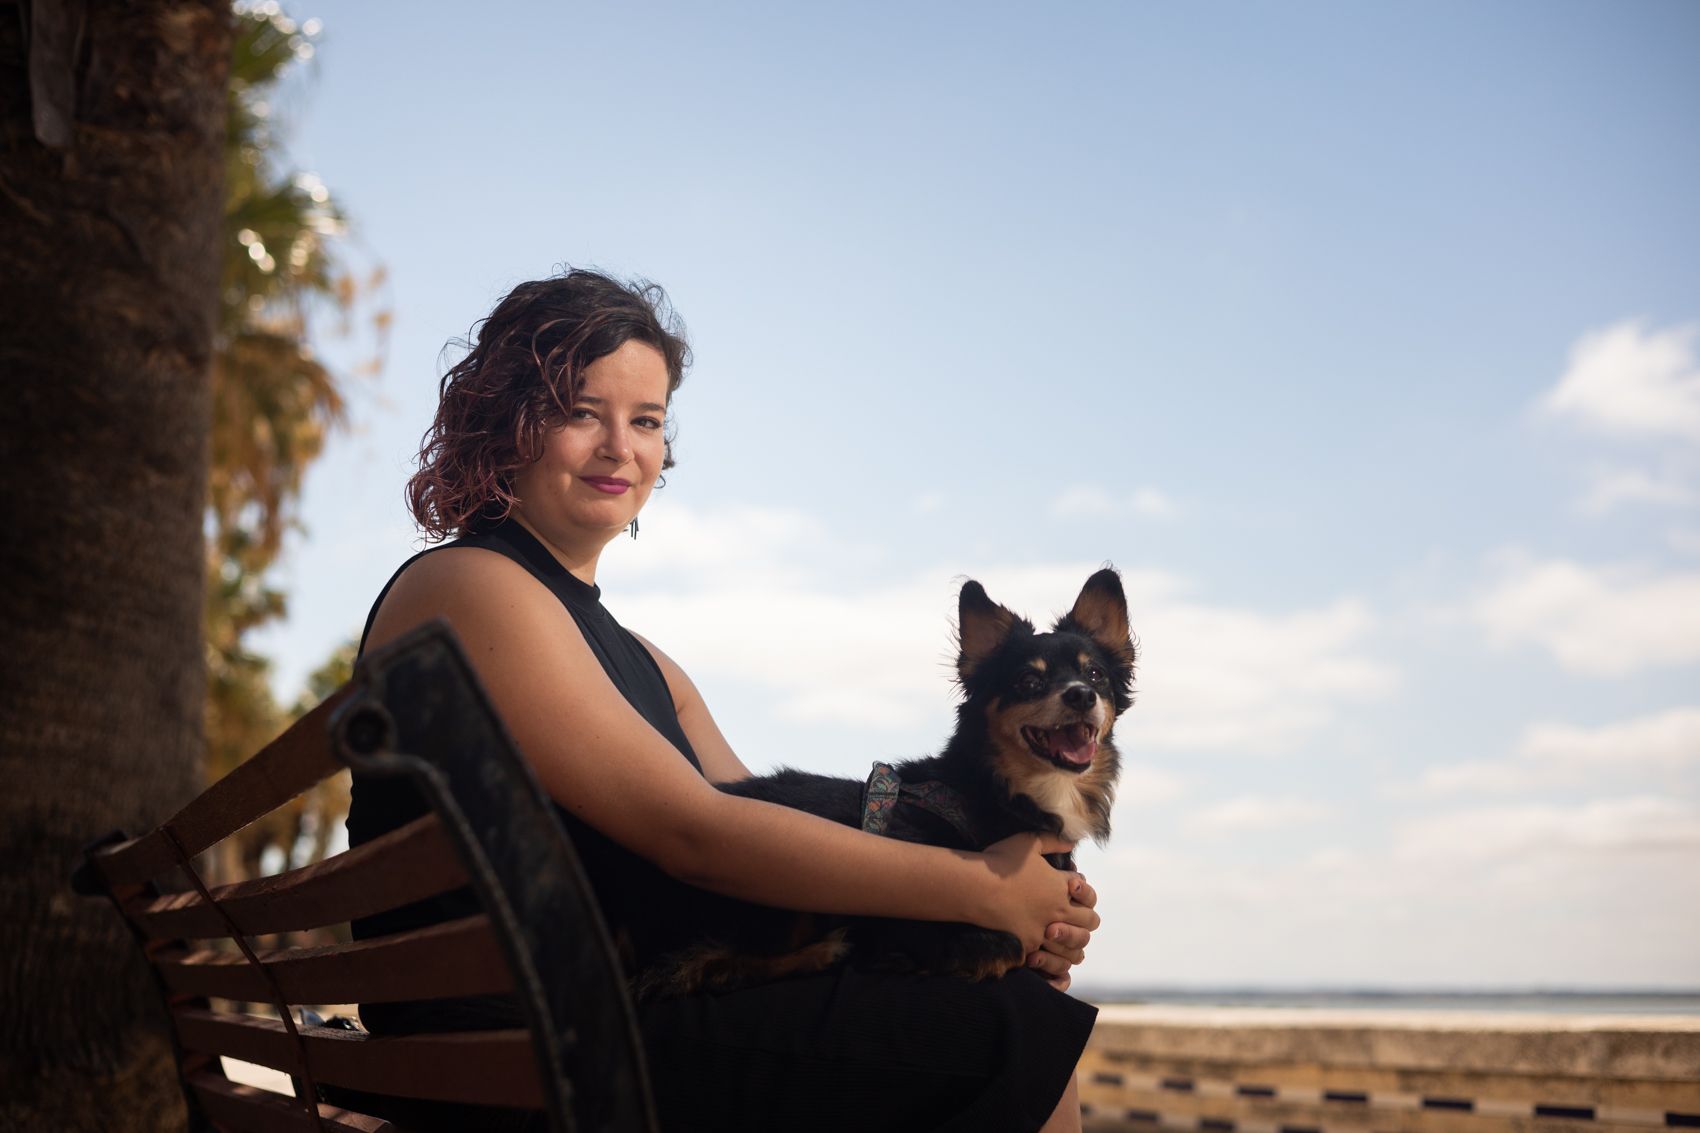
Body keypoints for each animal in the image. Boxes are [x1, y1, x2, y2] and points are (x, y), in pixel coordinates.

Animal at [632, 568, 1135, 993]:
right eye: (1029, 681)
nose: (1081, 695)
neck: (1001, 792)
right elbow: (1005, 945)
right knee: (709, 966)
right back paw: (822, 953)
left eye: (1095, 675)